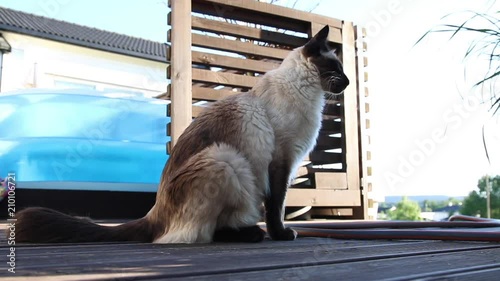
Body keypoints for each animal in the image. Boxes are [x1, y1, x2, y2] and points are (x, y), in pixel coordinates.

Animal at [11, 25, 348, 242]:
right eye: (336, 67)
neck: (308, 93)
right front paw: (281, 235)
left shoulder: (287, 163)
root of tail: (154, 214)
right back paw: (251, 234)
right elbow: (277, 205)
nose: (346, 82)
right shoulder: (281, 161)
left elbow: (278, 204)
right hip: (225, 159)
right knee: (200, 235)